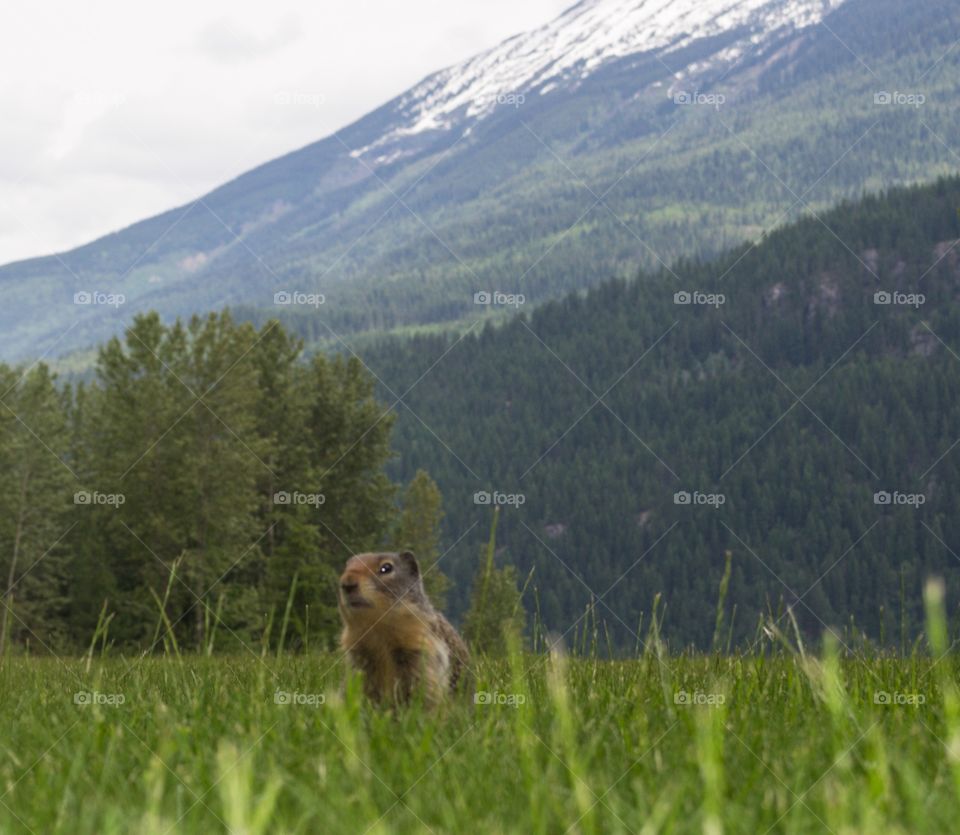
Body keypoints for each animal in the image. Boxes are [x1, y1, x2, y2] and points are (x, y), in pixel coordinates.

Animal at [338, 550, 471, 706]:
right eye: (346, 566)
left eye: (386, 568)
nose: (347, 583)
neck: (378, 632)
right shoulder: (358, 656)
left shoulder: (419, 651)